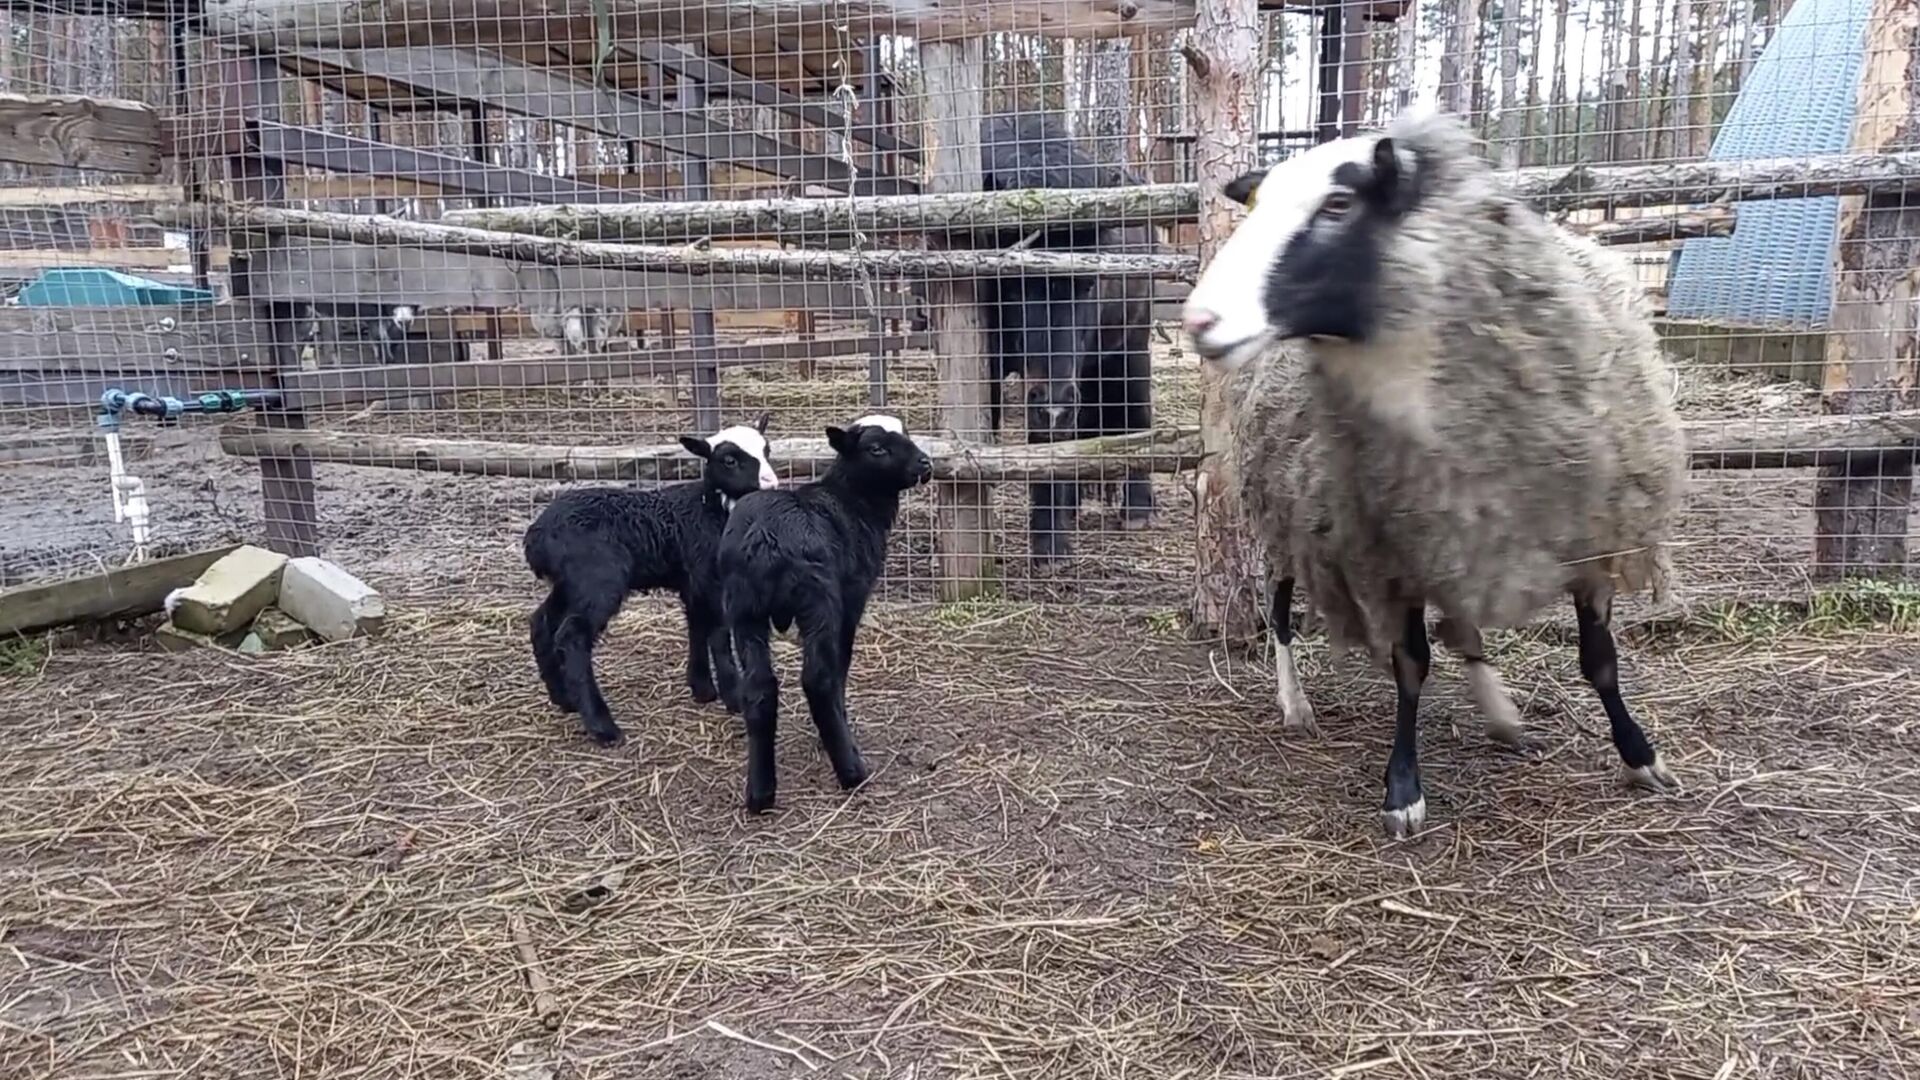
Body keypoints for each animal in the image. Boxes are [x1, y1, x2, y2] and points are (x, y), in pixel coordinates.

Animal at [526, 407, 779, 745]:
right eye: (729, 460)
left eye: (767, 450)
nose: (771, 484)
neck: (710, 509)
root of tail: (536, 536)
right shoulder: (709, 578)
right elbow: (718, 635)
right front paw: (734, 697)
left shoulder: (692, 582)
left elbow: (697, 628)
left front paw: (702, 689)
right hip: (598, 580)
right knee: (572, 636)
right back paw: (603, 727)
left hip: (571, 583)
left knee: (541, 622)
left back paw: (564, 700)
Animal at [718, 411, 933, 807]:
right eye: (876, 449)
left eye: (907, 434)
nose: (925, 464)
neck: (853, 502)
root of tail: (766, 539)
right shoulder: (851, 599)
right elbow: (840, 665)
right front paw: (840, 718)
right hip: (818, 600)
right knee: (817, 678)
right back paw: (852, 771)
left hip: (743, 608)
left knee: (758, 688)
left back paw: (760, 794)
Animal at [1175, 107, 1689, 834]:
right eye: (1255, 206)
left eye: (1339, 203)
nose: (1199, 321)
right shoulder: (1390, 551)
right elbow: (1411, 665)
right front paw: (1403, 789)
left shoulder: (1589, 536)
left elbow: (1601, 661)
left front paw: (1641, 757)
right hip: (1288, 514)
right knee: (1278, 611)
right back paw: (1295, 703)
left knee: (1465, 625)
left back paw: (1501, 714)